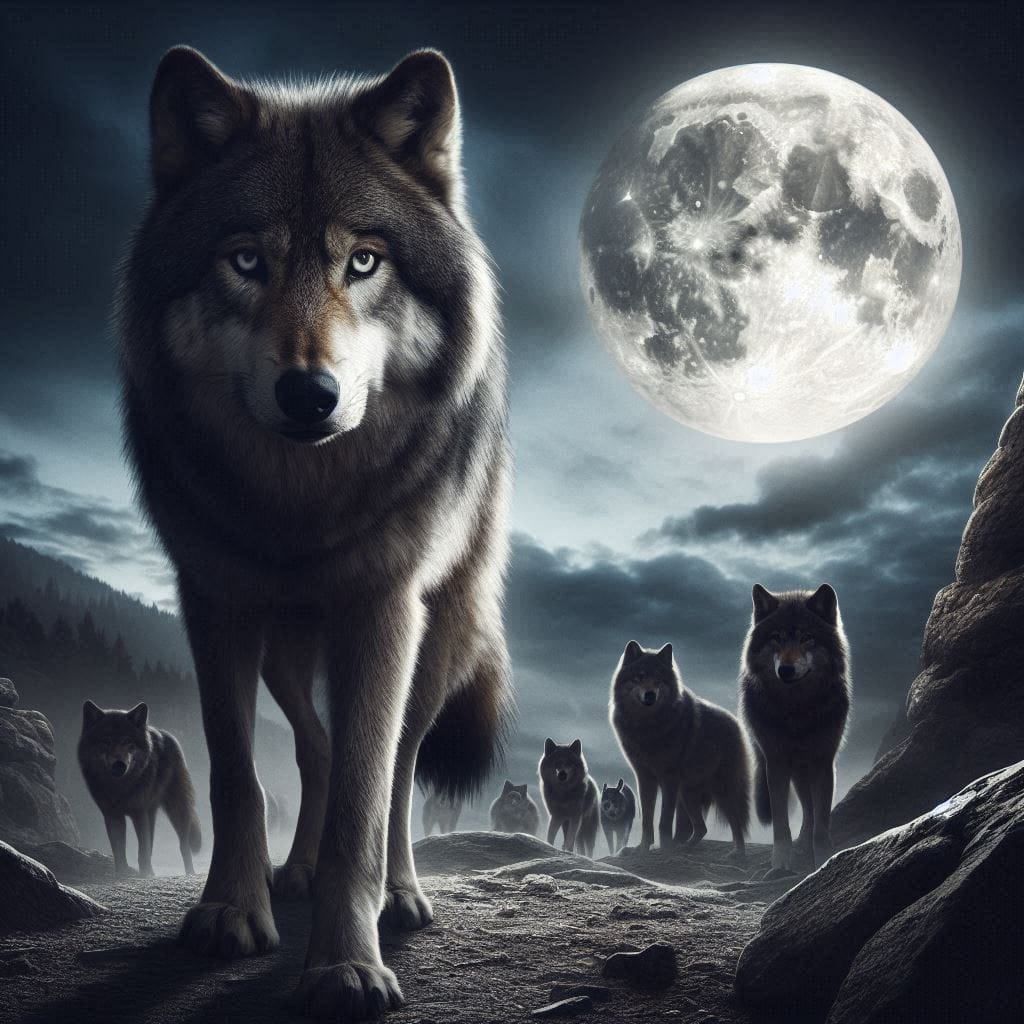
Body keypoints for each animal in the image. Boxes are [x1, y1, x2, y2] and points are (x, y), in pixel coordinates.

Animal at [78, 701, 201, 877]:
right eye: (106, 741)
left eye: (127, 741)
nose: (119, 765)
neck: (120, 787)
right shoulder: (112, 815)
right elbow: (119, 849)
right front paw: (122, 873)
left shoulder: (139, 813)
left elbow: (143, 849)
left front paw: (146, 874)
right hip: (152, 812)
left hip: (178, 810)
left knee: (183, 846)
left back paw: (190, 872)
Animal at [117, 45, 512, 1018]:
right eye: (246, 261)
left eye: (363, 262)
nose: (308, 393)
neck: (297, 502)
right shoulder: (213, 601)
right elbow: (237, 773)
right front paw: (232, 914)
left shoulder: (380, 609)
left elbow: (367, 803)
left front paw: (343, 966)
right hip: (289, 647)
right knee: (317, 746)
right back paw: (292, 874)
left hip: (435, 637)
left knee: (396, 768)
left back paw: (401, 894)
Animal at [610, 643, 750, 857]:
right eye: (640, 676)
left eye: (659, 679)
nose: (650, 694)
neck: (647, 726)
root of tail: (736, 724)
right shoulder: (644, 778)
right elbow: (647, 820)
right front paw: (642, 848)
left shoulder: (669, 779)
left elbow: (664, 821)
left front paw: (664, 849)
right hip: (687, 795)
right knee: (700, 828)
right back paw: (683, 847)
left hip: (719, 791)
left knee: (735, 822)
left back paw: (737, 852)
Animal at [739, 584, 851, 871]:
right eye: (776, 638)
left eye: (806, 638)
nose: (786, 670)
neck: (797, 710)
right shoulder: (776, 763)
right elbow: (781, 824)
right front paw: (780, 864)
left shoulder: (823, 762)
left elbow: (821, 822)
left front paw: (823, 859)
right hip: (793, 768)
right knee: (806, 806)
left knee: (811, 809)